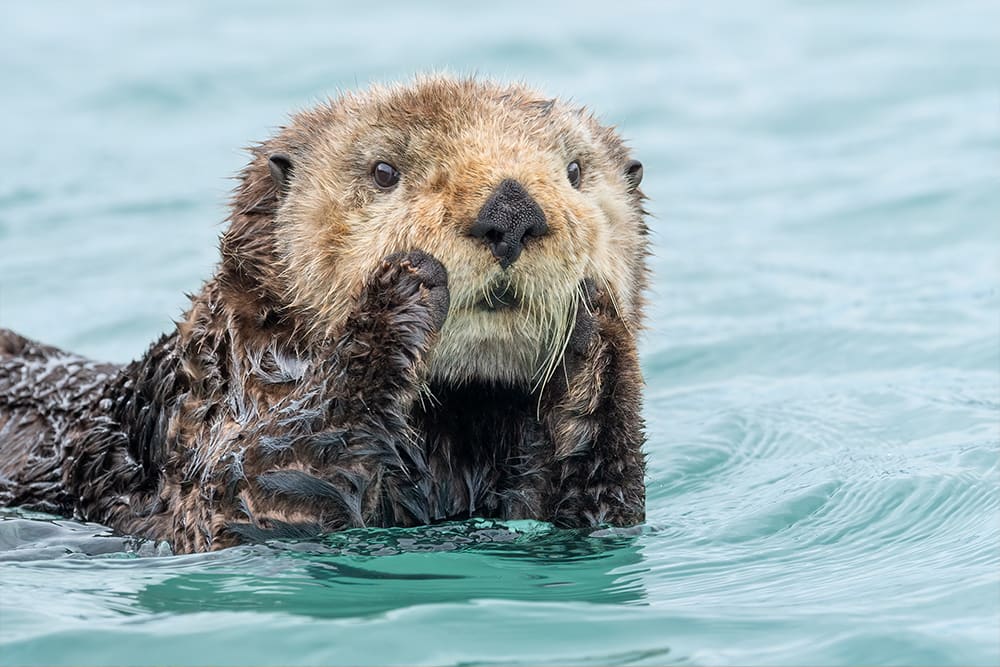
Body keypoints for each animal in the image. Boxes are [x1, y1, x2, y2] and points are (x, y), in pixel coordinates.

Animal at [0, 75, 648, 556]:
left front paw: (597, 331)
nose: (512, 211)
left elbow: (595, 506)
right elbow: (248, 504)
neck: (451, 428)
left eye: (574, 172)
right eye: (384, 172)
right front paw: (401, 288)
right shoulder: (203, 429)